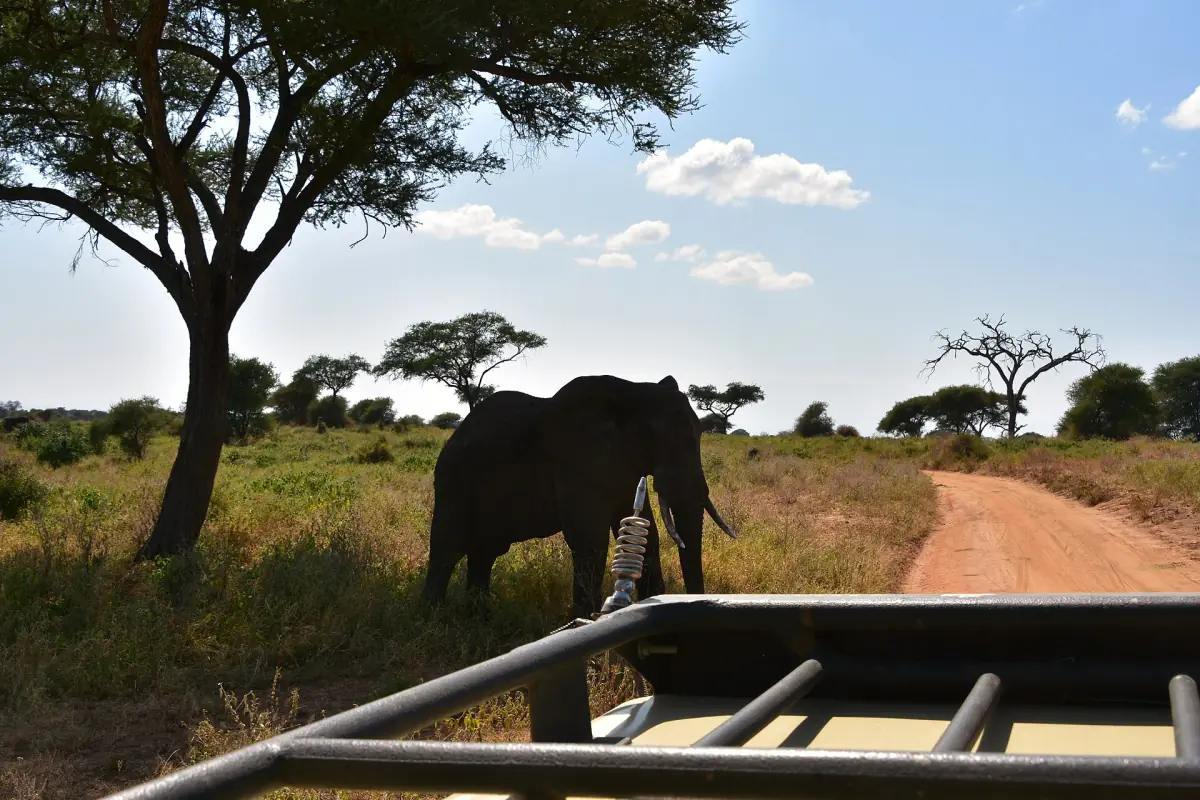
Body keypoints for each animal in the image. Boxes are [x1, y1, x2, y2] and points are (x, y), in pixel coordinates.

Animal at [420, 374, 740, 619]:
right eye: (663, 439)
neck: (633, 392)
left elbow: (646, 535)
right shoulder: (578, 460)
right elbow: (590, 541)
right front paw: (587, 624)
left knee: (484, 553)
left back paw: (480, 618)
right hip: (453, 484)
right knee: (447, 550)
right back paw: (434, 620)